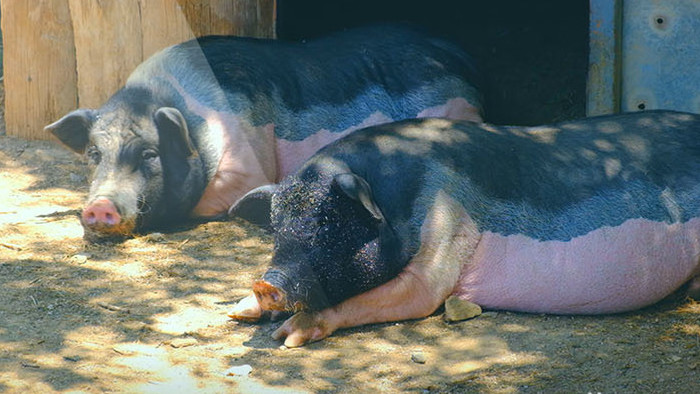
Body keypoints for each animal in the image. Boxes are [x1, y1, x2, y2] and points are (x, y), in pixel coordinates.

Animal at [228, 109, 700, 346]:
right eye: (277, 226)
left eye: (327, 223)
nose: (267, 283)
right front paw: (238, 310)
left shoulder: (447, 214)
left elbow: (423, 293)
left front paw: (288, 336)